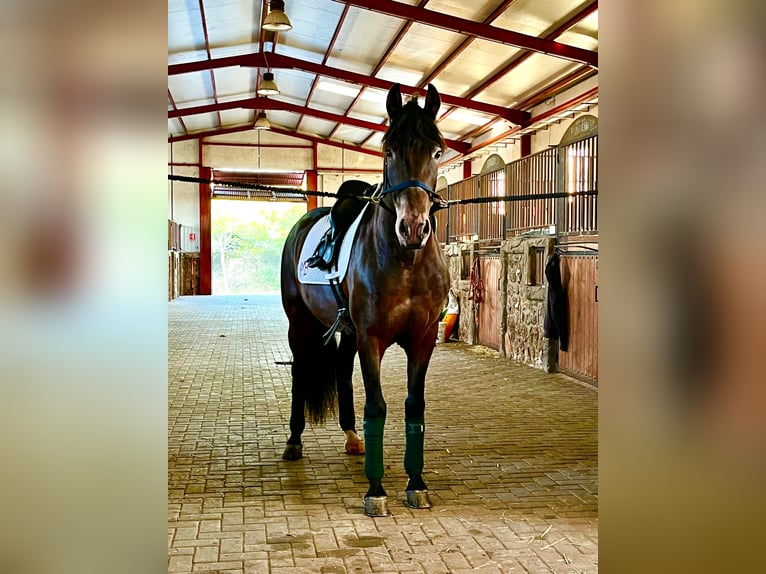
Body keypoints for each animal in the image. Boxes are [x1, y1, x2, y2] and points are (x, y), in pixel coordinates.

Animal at [280, 83, 450, 517]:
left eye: (437, 151)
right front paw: (376, 491)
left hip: (348, 332)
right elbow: (377, 407)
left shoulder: (423, 340)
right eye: (388, 150)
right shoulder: (372, 338)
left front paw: (416, 484)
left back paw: (352, 437)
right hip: (301, 325)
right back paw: (294, 441)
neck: (405, 261)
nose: (413, 228)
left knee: (340, 369)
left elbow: (414, 407)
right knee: (300, 371)